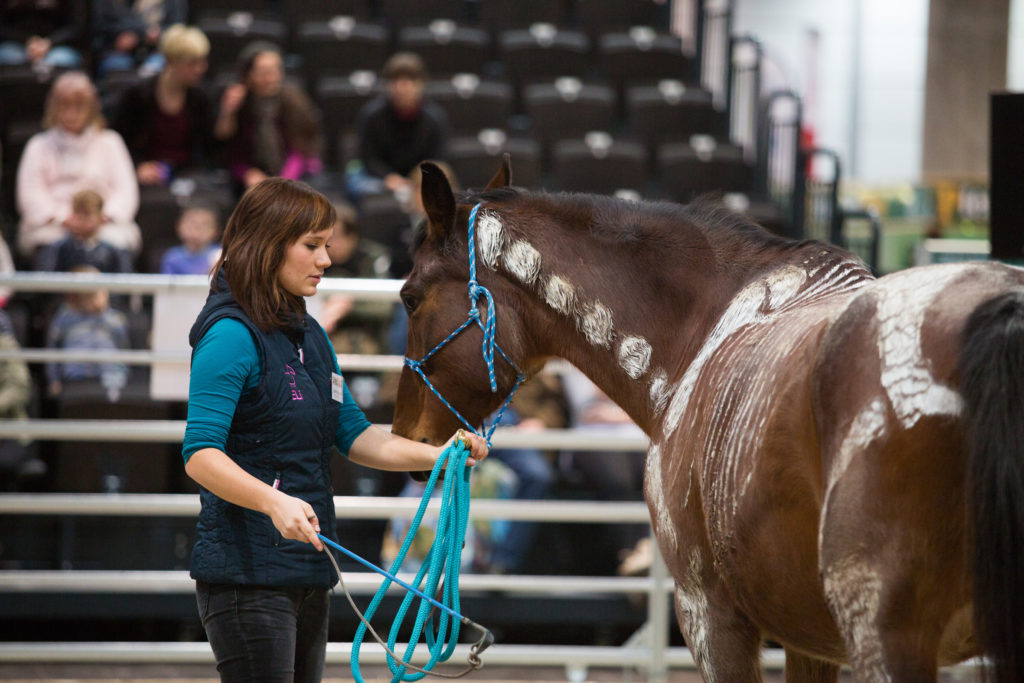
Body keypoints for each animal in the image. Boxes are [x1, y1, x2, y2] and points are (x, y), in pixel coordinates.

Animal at [389, 157, 1024, 679]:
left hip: (885, 635)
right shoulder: (809, 639)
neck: (706, 327)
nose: (404, 437)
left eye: (410, 297)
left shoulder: (708, 615)